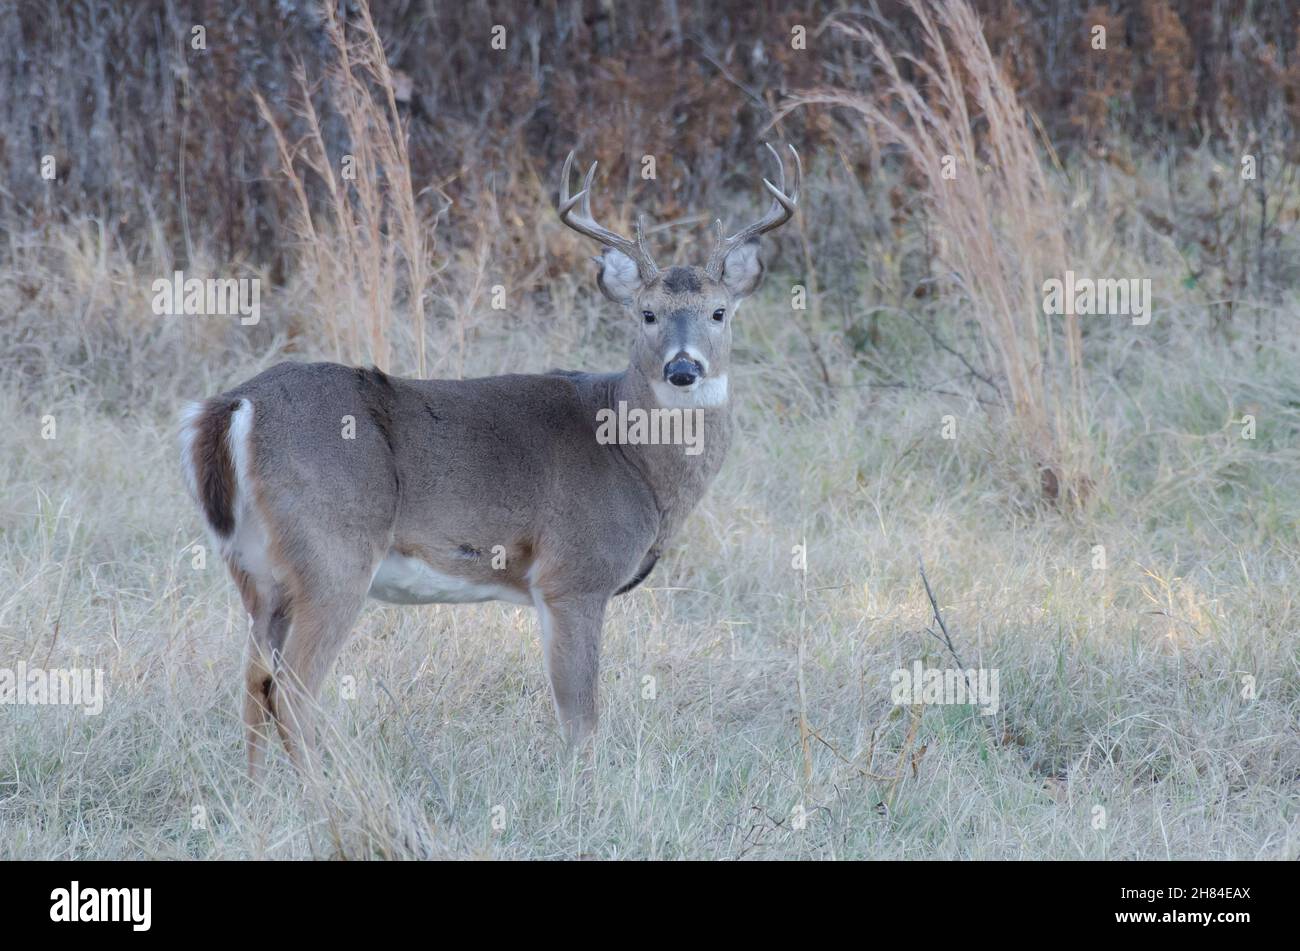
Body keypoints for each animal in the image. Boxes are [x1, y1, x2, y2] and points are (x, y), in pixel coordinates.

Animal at [179, 144, 800, 776]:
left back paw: (263, 792)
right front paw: (580, 788)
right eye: (647, 313)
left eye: (719, 311)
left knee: (254, 684)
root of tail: (234, 406)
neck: (634, 458)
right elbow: (581, 718)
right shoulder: (573, 575)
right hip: (333, 551)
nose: (683, 368)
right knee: (292, 689)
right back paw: (323, 791)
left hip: (256, 570)